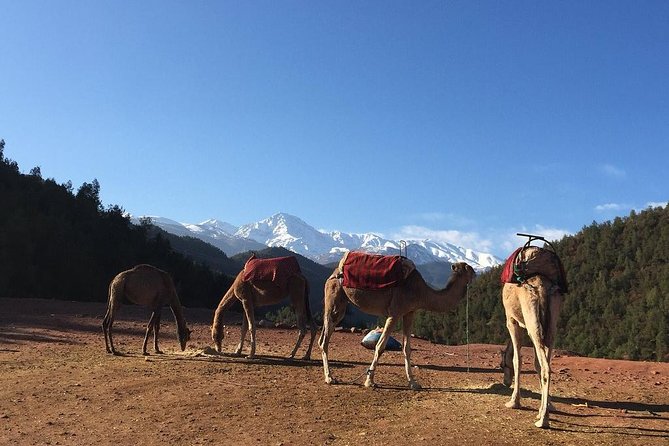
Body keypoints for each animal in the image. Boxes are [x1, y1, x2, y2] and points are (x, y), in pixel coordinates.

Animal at [319, 258, 476, 390]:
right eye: (468, 267)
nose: (475, 273)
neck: (421, 293)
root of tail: (334, 273)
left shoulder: (409, 312)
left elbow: (406, 348)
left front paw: (413, 383)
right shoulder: (394, 313)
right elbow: (380, 346)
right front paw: (369, 381)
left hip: (342, 303)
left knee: (324, 335)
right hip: (333, 296)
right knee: (325, 339)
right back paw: (329, 378)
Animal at [502, 246, 565, 428]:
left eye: (502, 365)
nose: (505, 382)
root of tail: (542, 286)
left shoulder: (512, 321)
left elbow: (517, 359)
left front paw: (514, 402)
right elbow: (535, 363)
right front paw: (549, 404)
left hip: (532, 321)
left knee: (545, 367)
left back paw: (543, 420)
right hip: (552, 324)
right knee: (546, 363)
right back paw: (544, 413)